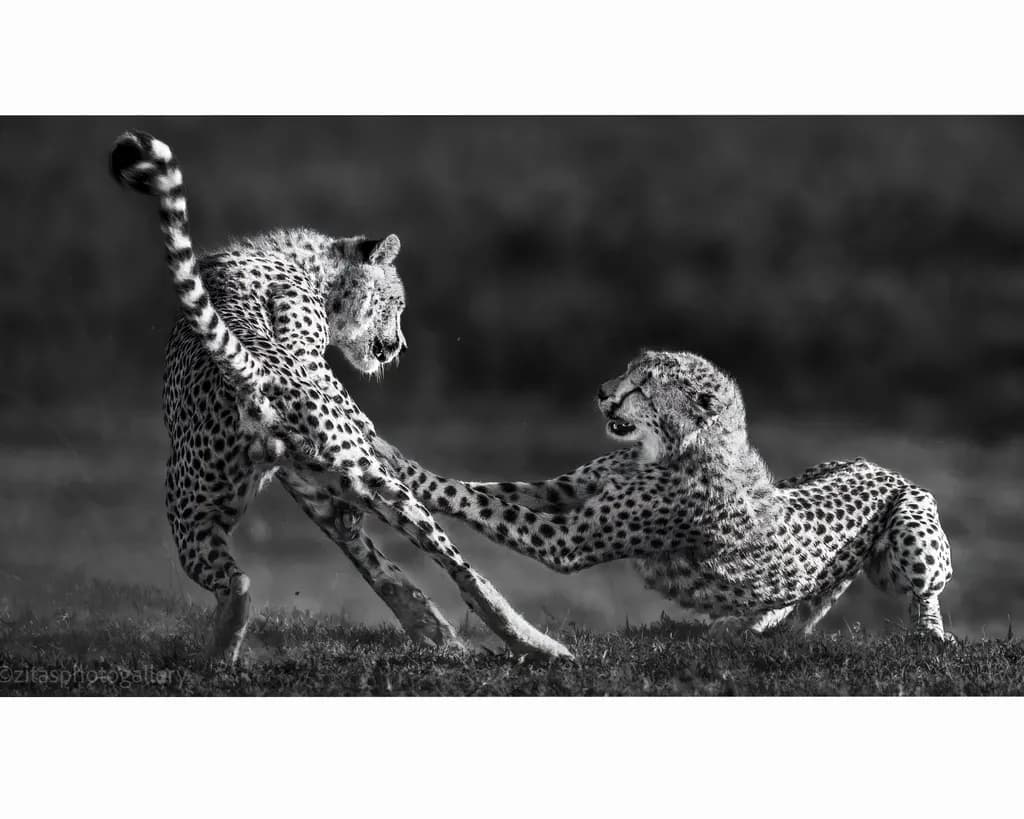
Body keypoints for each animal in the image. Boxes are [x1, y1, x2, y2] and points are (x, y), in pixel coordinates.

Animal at [110, 130, 571, 662]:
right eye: (397, 303)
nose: (400, 346)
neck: (301, 261)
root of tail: (250, 376)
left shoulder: (314, 487)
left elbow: (378, 564)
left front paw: (431, 629)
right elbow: (446, 509)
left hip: (193, 516)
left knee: (236, 583)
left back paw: (222, 653)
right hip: (361, 473)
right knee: (461, 568)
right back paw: (537, 642)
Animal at [376, 349, 955, 640]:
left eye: (641, 386)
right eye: (628, 372)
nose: (602, 391)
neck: (668, 450)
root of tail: (878, 465)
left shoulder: (566, 542)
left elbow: (474, 499)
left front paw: (398, 467)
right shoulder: (566, 490)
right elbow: (490, 489)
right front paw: (388, 454)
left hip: (912, 542)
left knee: (925, 591)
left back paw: (929, 632)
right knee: (795, 602)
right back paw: (747, 626)